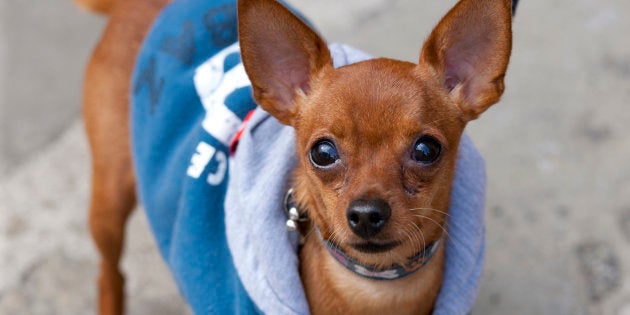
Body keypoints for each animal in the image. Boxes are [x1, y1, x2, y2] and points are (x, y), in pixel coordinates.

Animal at [79, 0, 512, 314]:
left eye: (426, 150)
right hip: (110, 199)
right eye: (322, 153)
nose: (366, 214)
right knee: (108, 272)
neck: (376, 294)